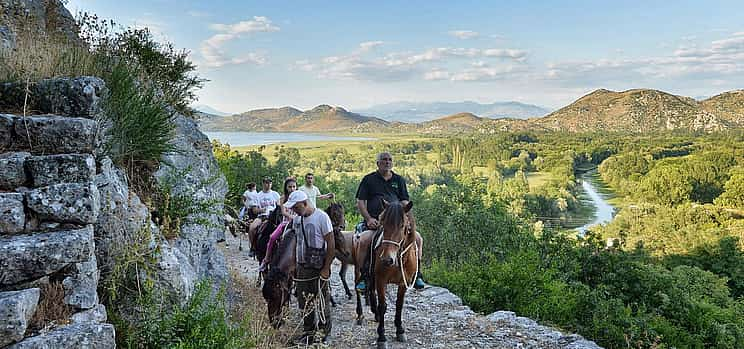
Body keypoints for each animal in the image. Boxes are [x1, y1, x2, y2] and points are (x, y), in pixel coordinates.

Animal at [358, 200, 422, 346]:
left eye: (403, 226)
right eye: (383, 223)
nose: (387, 259)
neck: (399, 259)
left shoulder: (403, 283)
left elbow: (399, 304)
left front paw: (400, 330)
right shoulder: (381, 281)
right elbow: (383, 306)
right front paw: (381, 337)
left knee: (371, 290)